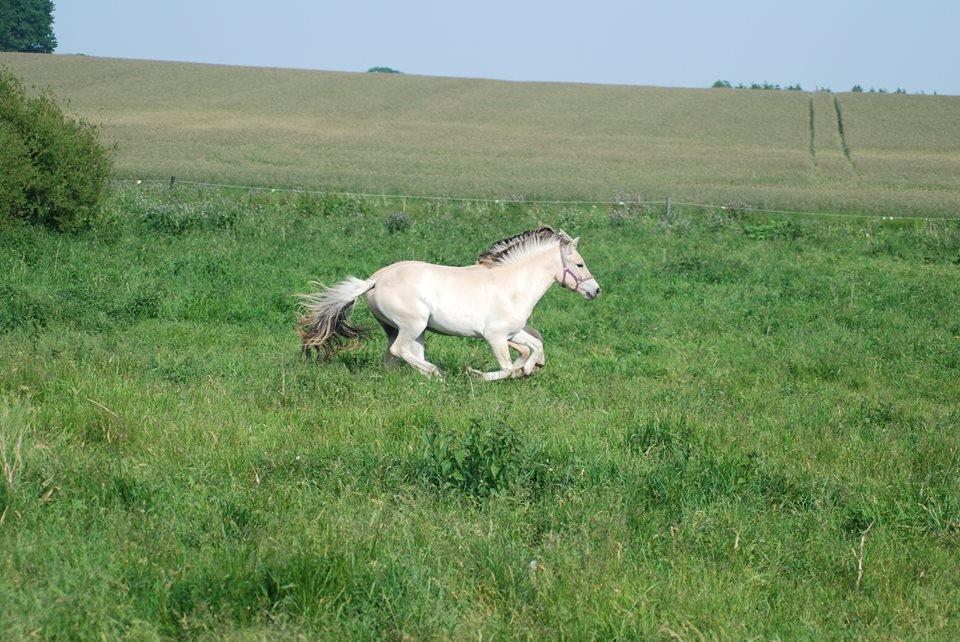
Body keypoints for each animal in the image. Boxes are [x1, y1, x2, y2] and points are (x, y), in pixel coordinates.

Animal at [296, 226, 604, 378]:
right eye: (579, 264)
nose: (596, 290)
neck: (512, 284)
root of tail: (374, 280)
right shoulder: (495, 337)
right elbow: (506, 367)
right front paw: (475, 374)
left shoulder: (513, 332)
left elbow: (535, 345)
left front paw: (528, 369)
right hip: (412, 325)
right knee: (400, 351)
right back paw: (438, 373)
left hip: (403, 329)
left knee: (396, 357)